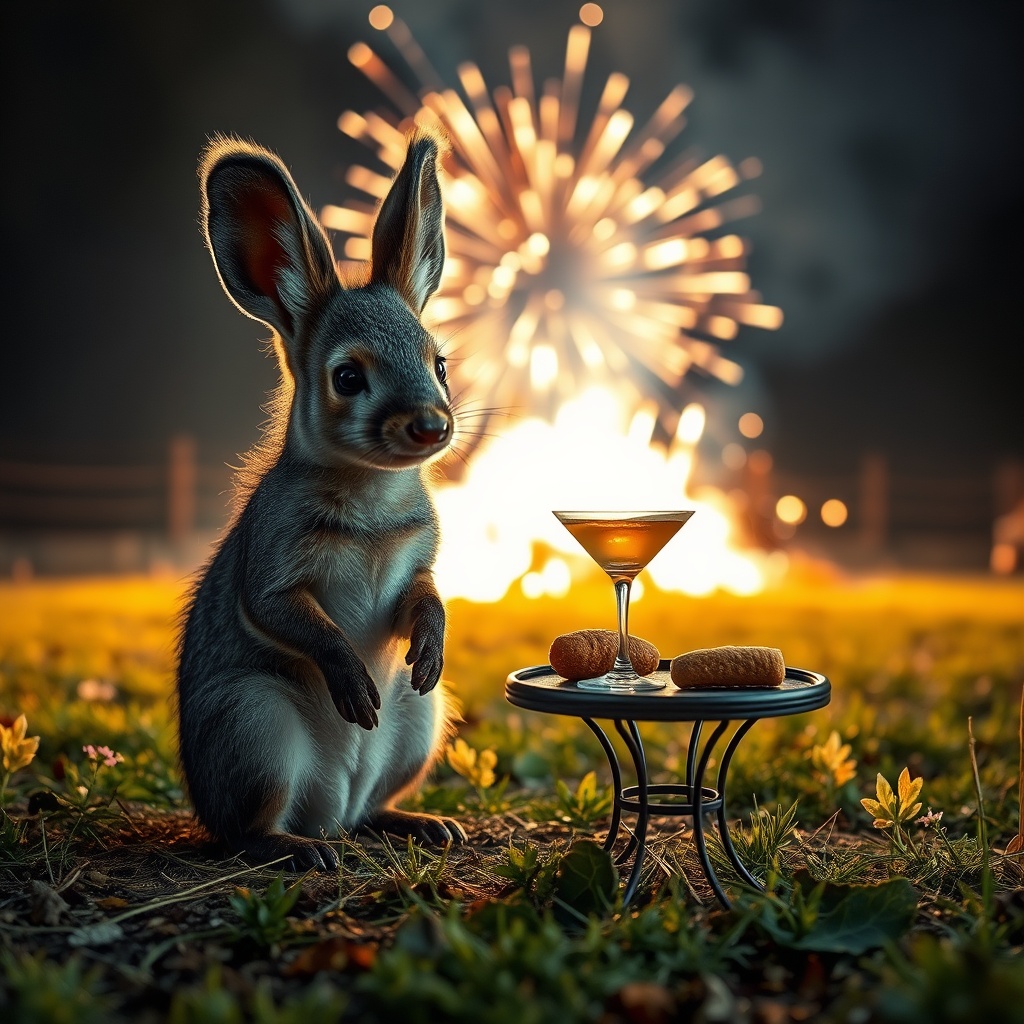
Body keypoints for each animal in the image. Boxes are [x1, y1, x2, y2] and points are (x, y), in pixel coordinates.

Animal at [176, 129, 465, 871]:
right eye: (348, 377)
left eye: (438, 362)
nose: (433, 425)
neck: (372, 493)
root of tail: (330, 806)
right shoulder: (276, 572)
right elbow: (296, 619)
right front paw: (354, 685)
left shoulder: (420, 562)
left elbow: (426, 595)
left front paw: (429, 648)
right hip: (255, 726)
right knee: (248, 830)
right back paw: (298, 848)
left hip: (419, 723)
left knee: (369, 811)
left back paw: (421, 822)